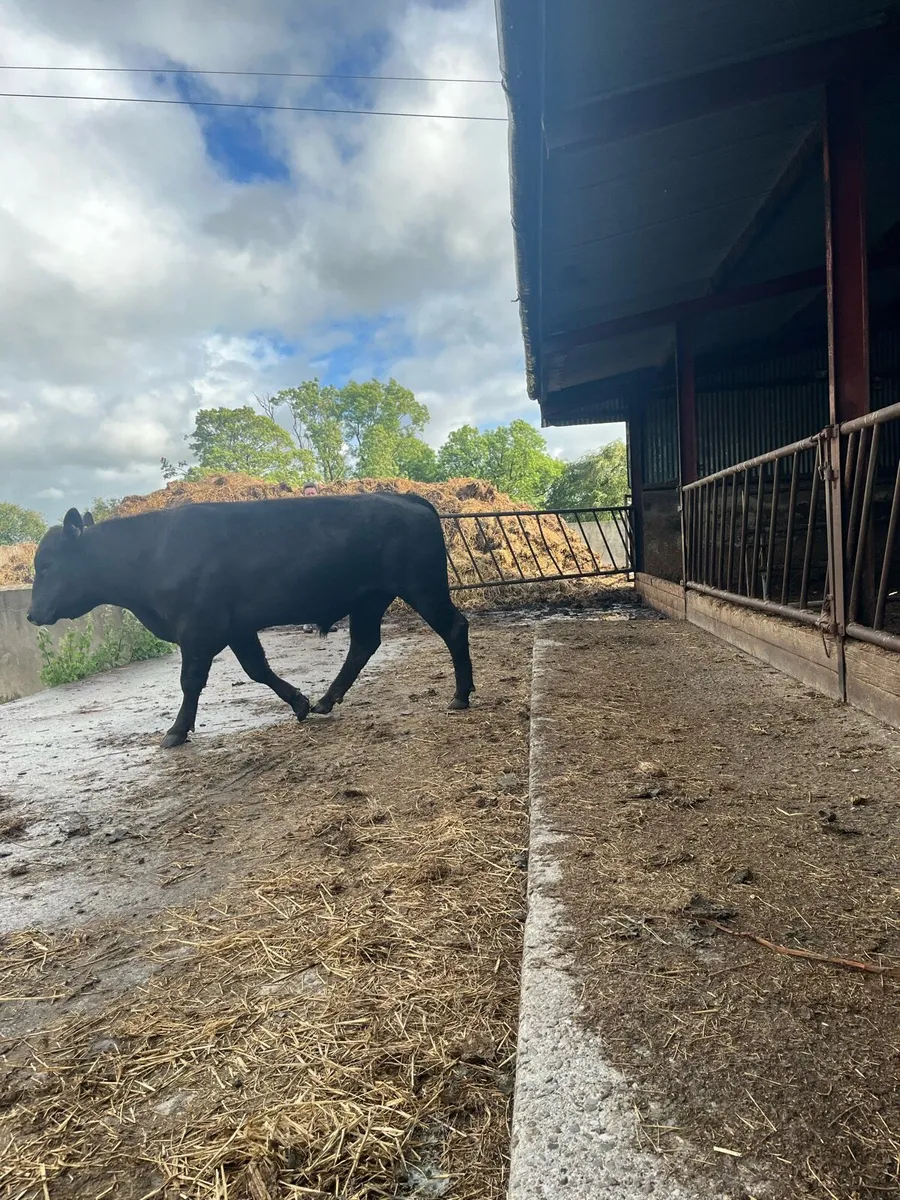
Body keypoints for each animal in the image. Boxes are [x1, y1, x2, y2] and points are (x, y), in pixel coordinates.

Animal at [27, 494, 474, 748]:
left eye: (46, 566)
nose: (32, 614)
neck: (153, 552)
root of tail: (406, 498)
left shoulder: (199, 627)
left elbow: (191, 681)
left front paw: (176, 731)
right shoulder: (235, 626)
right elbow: (257, 669)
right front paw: (299, 702)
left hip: (421, 586)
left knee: (454, 628)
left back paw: (461, 695)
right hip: (368, 598)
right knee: (363, 645)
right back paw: (326, 700)